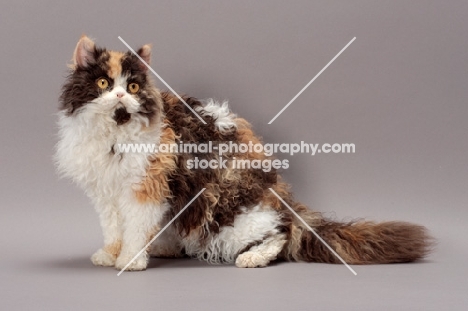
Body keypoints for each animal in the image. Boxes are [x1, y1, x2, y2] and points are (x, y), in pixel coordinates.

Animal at [56, 35, 434, 272]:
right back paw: (166, 246)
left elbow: (134, 228)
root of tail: (282, 197)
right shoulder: (107, 193)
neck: (114, 133)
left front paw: (131, 261)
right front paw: (110, 255)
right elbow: (113, 229)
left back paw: (252, 258)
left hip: (228, 216)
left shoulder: (146, 187)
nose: (121, 96)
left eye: (133, 86)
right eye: (103, 83)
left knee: (280, 235)